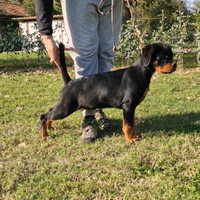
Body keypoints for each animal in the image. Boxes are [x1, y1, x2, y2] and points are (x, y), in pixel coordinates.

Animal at [40, 41, 177, 142]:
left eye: (171, 56)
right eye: (163, 58)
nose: (175, 64)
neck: (141, 72)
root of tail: (69, 82)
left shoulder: (131, 108)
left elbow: (131, 123)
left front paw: (134, 135)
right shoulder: (128, 105)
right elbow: (128, 125)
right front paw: (129, 139)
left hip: (63, 106)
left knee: (50, 111)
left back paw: (49, 127)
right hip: (66, 108)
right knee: (44, 116)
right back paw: (44, 136)